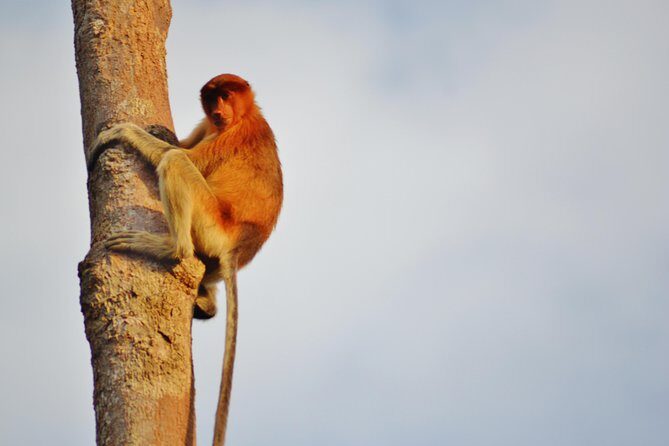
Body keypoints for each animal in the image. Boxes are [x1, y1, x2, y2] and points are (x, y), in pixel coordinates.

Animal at [88, 74, 283, 446]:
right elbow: (180, 144)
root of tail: (236, 246)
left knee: (176, 164)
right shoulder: (210, 126)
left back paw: (169, 249)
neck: (244, 115)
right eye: (212, 98)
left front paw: (123, 132)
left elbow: (178, 153)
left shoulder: (232, 135)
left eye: (226, 95)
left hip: (211, 222)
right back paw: (206, 302)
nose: (218, 111)